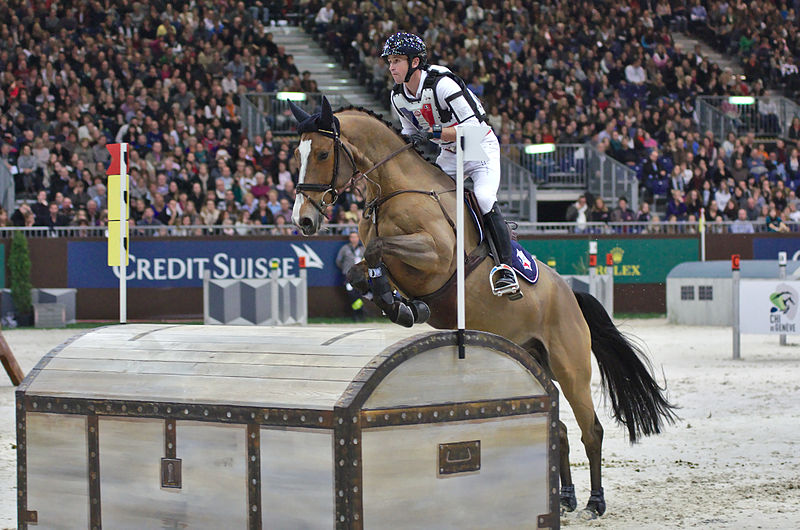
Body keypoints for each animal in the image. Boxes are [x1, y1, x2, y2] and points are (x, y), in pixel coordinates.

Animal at [288, 96, 676, 516]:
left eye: (322, 153)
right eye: (297, 154)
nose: (302, 220)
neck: (393, 191)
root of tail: (570, 294)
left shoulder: (437, 256)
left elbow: (377, 249)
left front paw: (404, 306)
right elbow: (360, 268)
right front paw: (400, 306)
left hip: (570, 366)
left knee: (592, 430)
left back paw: (594, 501)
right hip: (533, 359)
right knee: (558, 428)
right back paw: (566, 497)